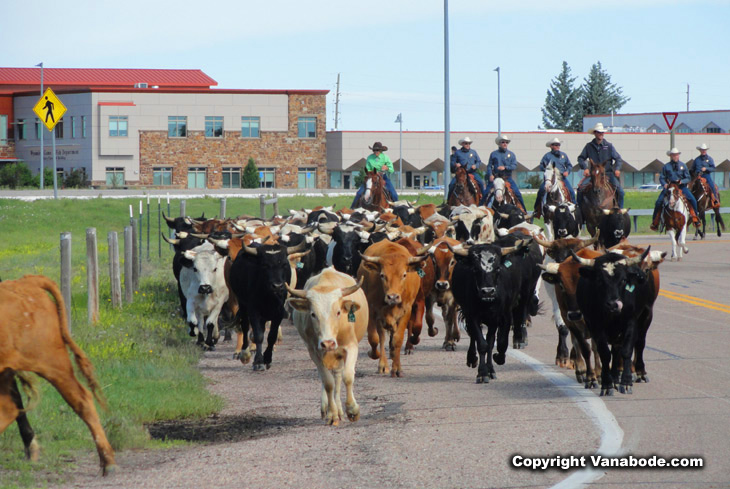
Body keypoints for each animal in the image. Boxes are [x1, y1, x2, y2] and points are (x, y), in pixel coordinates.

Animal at [282, 268, 366, 426]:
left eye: (338, 312)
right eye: (313, 314)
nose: (328, 343)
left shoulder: (351, 346)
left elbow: (347, 377)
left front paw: (352, 409)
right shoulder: (314, 352)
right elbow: (328, 383)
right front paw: (332, 414)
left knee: (338, 375)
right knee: (326, 377)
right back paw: (329, 408)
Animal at [356, 240, 426, 378]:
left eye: (404, 275)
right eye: (382, 275)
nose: (392, 297)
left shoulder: (406, 311)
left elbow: (397, 340)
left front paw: (397, 369)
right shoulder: (373, 311)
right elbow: (374, 338)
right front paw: (374, 355)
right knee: (382, 337)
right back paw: (383, 365)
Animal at [450, 234, 540, 384]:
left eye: (497, 268)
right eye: (475, 269)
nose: (487, 291)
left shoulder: (503, 317)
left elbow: (500, 342)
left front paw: (498, 359)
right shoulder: (472, 316)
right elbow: (482, 344)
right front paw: (482, 373)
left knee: (493, 339)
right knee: (476, 338)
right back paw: (472, 358)